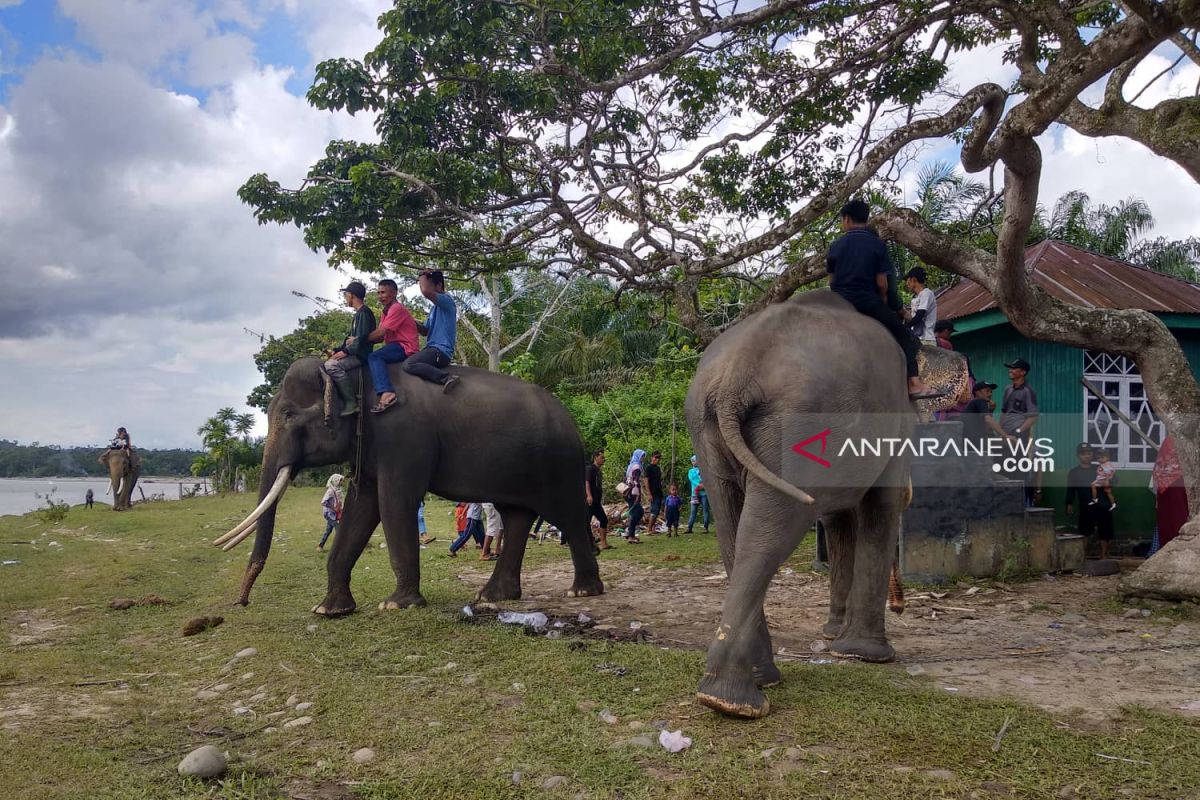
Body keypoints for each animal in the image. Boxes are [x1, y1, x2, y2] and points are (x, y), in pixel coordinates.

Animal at [212, 359, 604, 618]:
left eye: (290, 415)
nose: (241, 602)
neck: (358, 373)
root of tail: (570, 419)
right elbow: (360, 507)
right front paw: (328, 610)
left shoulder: (403, 436)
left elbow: (395, 502)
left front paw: (395, 604)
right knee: (516, 516)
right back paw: (492, 598)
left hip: (559, 464)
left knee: (568, 515)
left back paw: (581, 591)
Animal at [686, 289, 964, 719]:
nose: (902, 607)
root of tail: (737, 374)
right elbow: (881, 504)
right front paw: (866, 655)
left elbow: (839, 519)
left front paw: (835, 636)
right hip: (799, 426)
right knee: (770, 532)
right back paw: (736, 701)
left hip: (709, 429)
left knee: (735, 532)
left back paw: (745, 688)